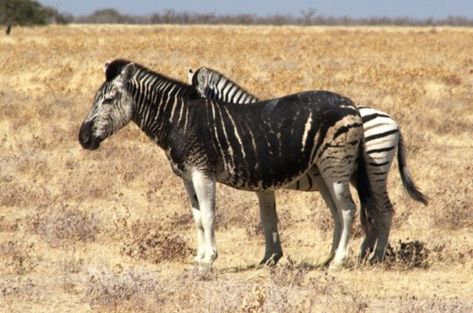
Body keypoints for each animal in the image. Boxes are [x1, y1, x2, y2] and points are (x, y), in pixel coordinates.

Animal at [79, 59, 370, 268]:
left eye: (108, 100)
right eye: (95, 99)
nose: (82, 138)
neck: (179, 121)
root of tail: (351, 104)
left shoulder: (202, 172)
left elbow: (208, 215)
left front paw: (210, 259)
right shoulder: (187, 176)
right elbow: (197, 217)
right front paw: (199, 257)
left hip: (336, 167)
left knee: (347, 209)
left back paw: (339, 261)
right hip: (322, 172)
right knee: (337, 211)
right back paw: (330, 259)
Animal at [188, 66, 428, 264]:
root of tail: (393, 120)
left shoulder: (263, 183)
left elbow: (267, 219)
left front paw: (270, 257)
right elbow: (270, 217)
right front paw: (272, 256)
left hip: (373, 166)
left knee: (384, 210)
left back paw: (375, 257)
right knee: (371, 211)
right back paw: (361, 254)